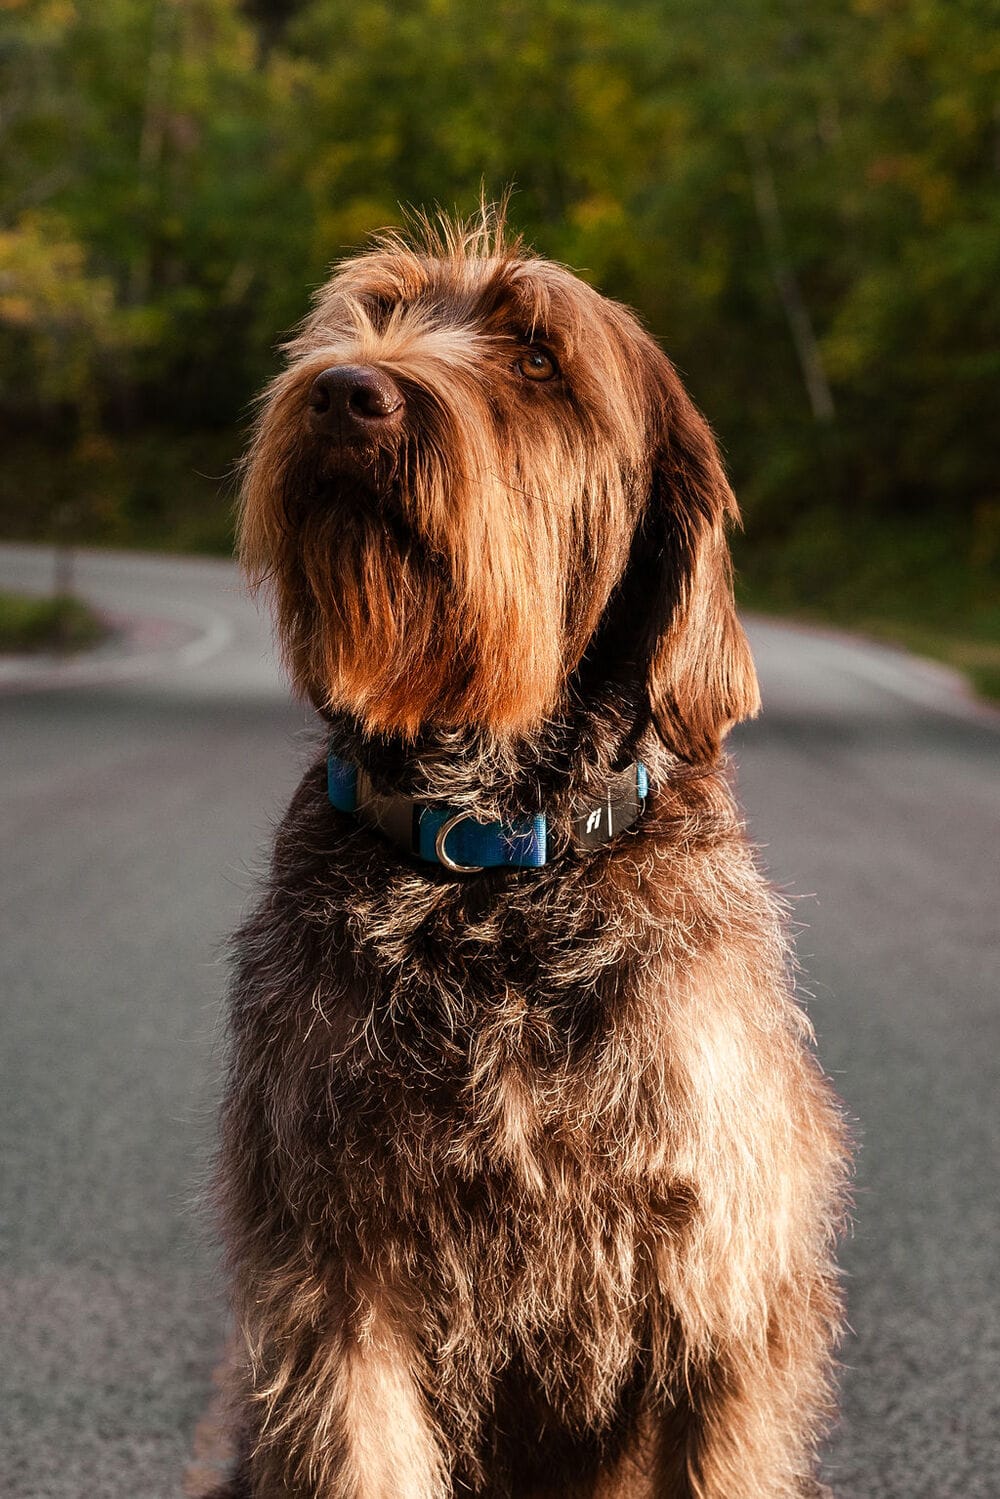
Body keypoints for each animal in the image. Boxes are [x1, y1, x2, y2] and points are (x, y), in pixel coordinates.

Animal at [212, 202, 851, 1499]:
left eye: (538, 358)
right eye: (376, 312)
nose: (345, 390)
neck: (493, 858)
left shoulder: (722, 1298)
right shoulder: (338, 1288)